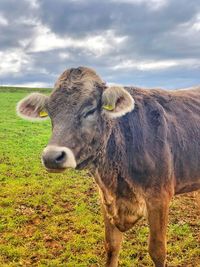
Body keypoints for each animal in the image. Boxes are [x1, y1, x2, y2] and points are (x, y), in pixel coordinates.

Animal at [16, 66, 199, 266]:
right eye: (50, 112)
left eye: (90, 110)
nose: (51, 157)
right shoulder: (106, 197)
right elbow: (111, 246)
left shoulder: (159, 197)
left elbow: (157, 251)